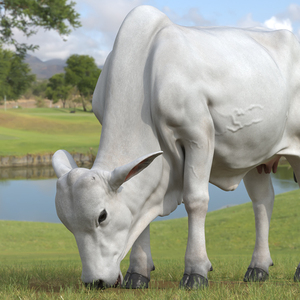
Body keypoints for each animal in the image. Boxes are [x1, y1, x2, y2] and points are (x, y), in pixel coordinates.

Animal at [52, 4, 300, 290]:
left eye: (102, 216)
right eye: (67, 223)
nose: (96, 281)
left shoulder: (198, 136)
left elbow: (195, 200)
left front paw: (196, 270)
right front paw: (138, 272)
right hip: (253, 155)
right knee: (262, 201)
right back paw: (258, 267)